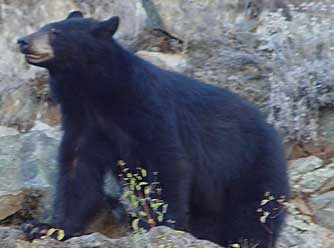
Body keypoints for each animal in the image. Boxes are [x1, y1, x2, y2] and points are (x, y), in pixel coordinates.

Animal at [18, 11, 288, 246]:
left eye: (55, 32)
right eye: (42, 27)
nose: (23, 41)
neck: (94, 94)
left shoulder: (148, 109)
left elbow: (167, 162)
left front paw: (164, 224)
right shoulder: (83, 123)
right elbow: (77, 171)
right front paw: (45, 227)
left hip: (253, 165)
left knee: (255, 213)